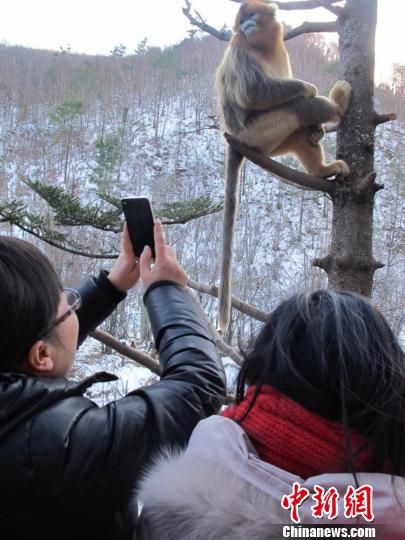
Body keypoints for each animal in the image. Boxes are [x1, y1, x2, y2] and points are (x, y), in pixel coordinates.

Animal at [215, 1, 350, 334]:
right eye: (242, 20)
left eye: (251, 16)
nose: (246, 25)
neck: (262, 46)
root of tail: (235, 139)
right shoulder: (239, 48)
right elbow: (254, 91)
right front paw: (308, 86)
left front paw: (318, 131)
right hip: (256, 133)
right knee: (297, 105)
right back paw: (337, 105)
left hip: (273, 142)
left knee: (300, 129)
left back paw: (320, 166)